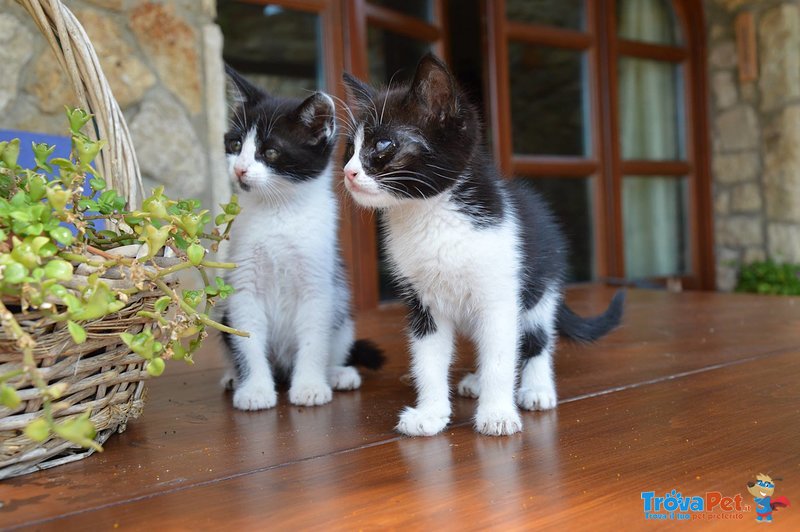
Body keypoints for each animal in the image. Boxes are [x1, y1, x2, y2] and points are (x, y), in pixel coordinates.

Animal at [219, 64, 382, 410]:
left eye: (270, 152)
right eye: (235, 144)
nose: (239, 170)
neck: (278, 211)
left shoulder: (318, 283)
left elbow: (313, 338)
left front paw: (309, 386)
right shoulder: (242, 285)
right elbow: (247, 335)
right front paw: (255, 390)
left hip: (341, 311)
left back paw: (338, 373)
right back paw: (232, 377)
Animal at [340, 54, 620, 436]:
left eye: (383, 146)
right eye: (349, 148)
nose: (348, 172)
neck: (432, 216)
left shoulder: (500, 293)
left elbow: (501, 356)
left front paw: (498, 413)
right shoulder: (422, 301)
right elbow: (429, 359)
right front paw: (431, 413)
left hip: (541, 284)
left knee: (535, 338)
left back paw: (535, 387)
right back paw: (476, 380)